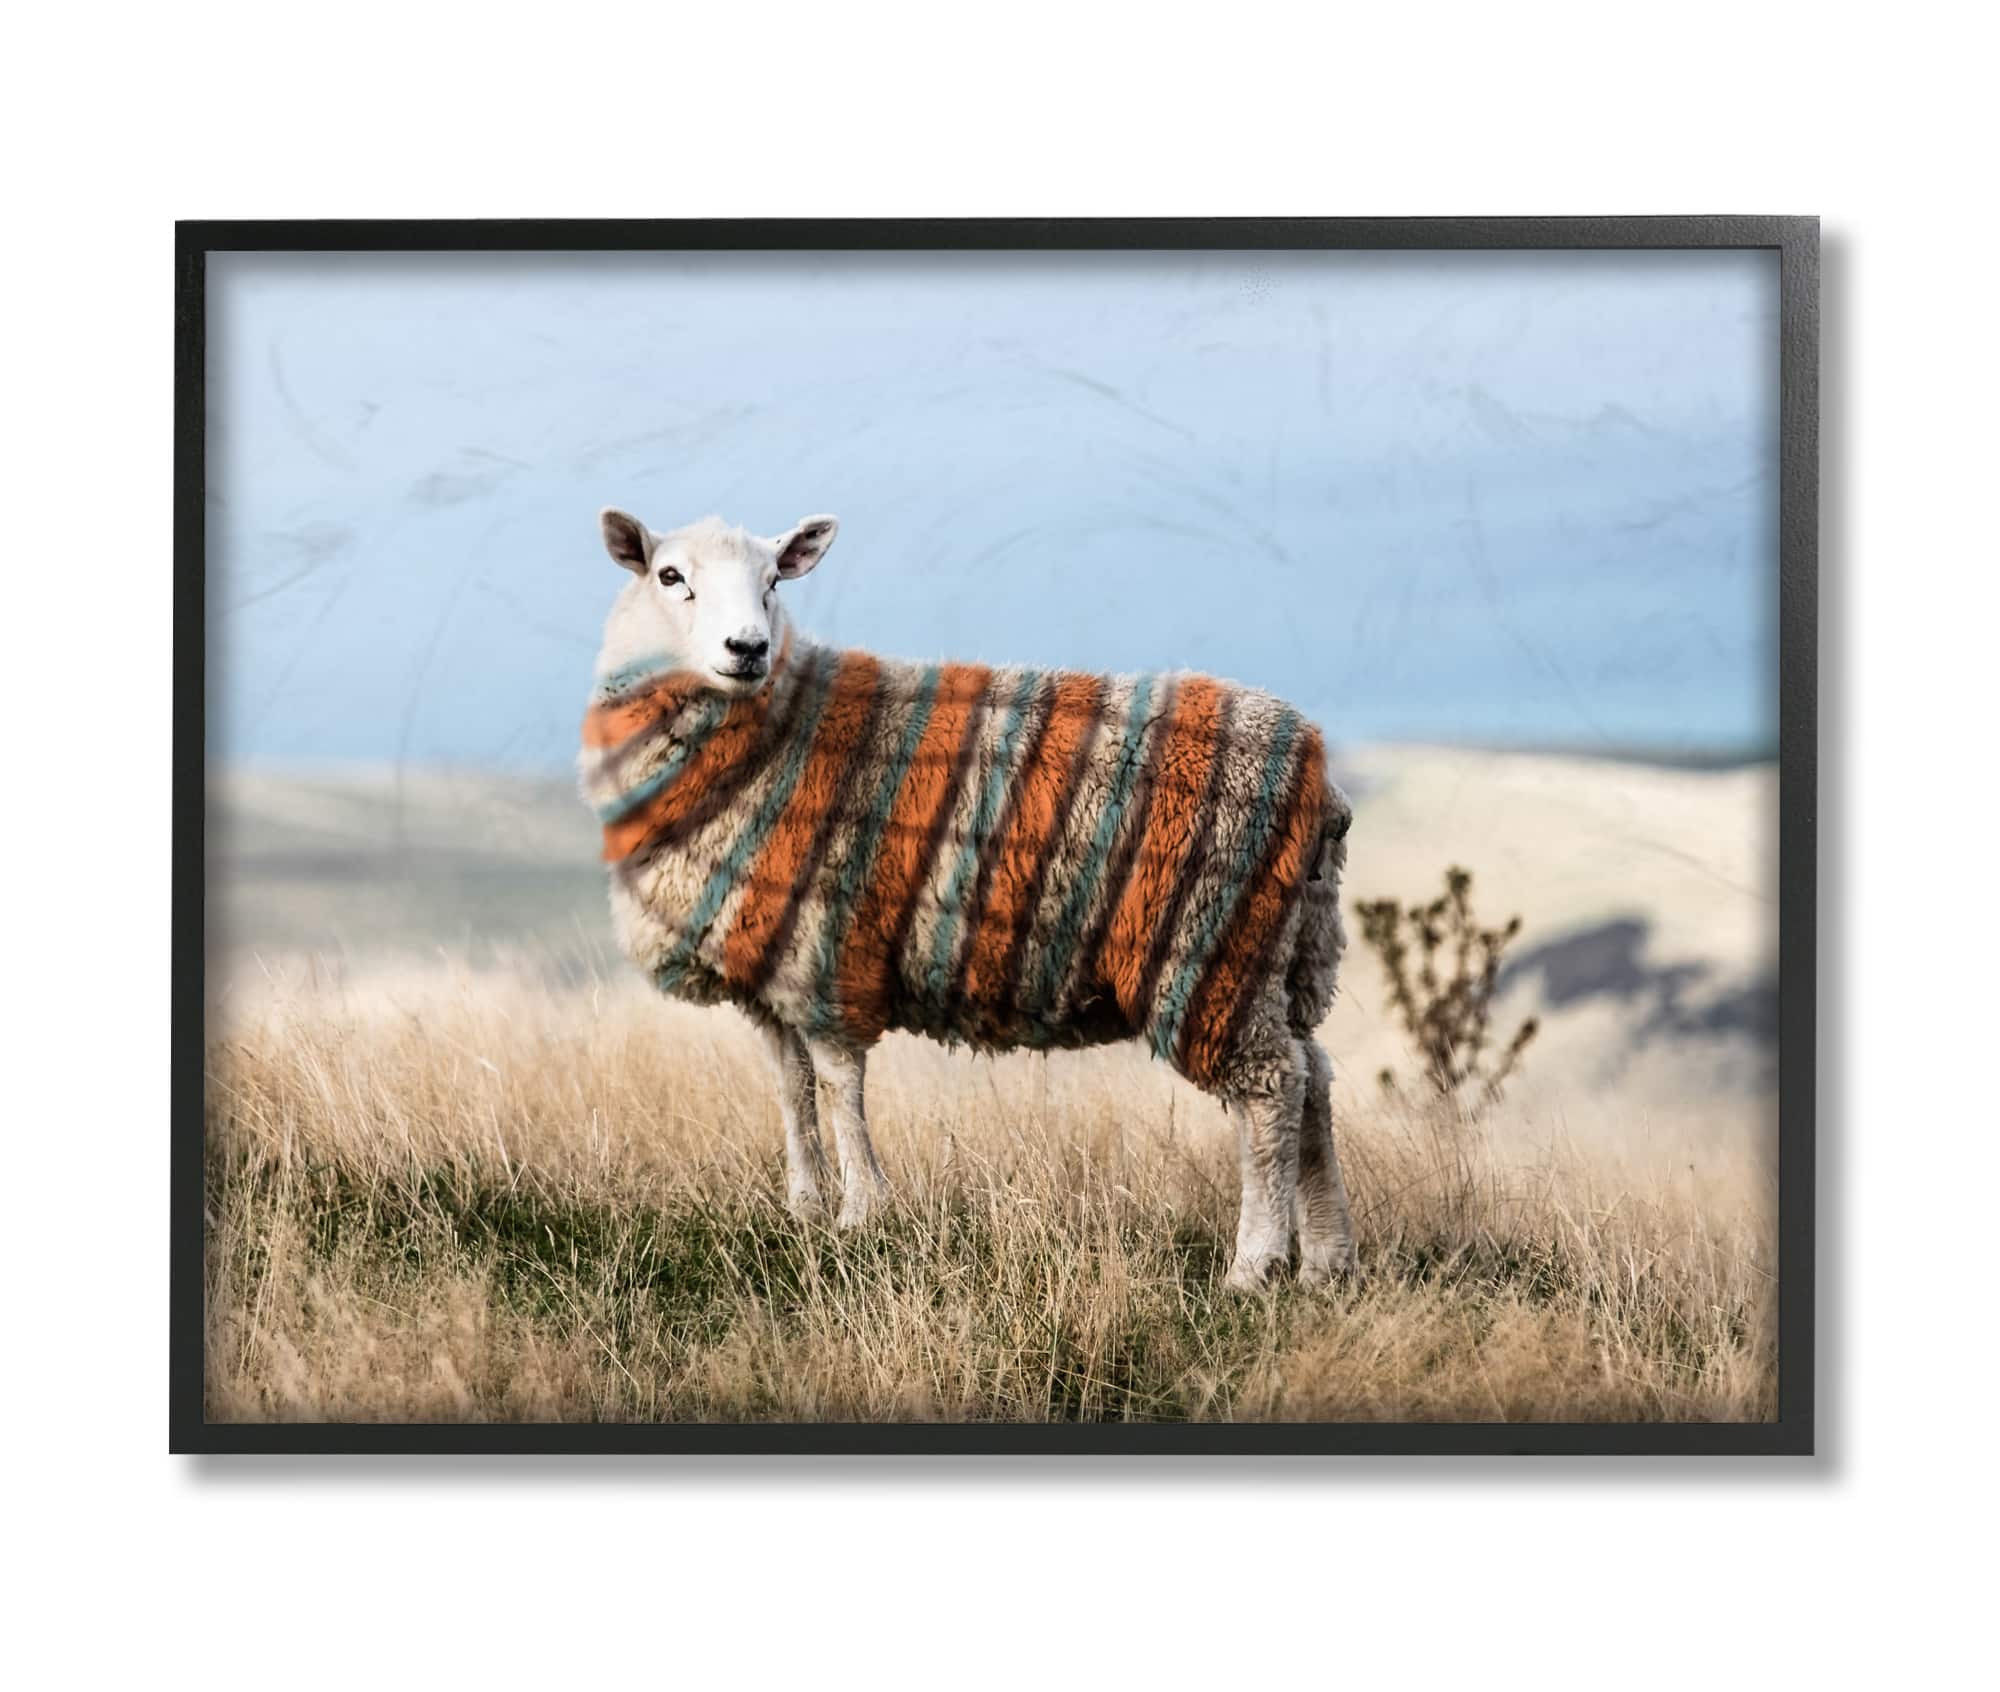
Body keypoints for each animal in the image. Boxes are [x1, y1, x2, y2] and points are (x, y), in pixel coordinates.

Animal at [580, 506, 1358, 1289]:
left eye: (774, 581)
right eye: (669, 576)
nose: (748, 648)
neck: (779, 726)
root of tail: (1315, 769)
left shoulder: (823, 952)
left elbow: (838, 1085)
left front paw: (861, 1212)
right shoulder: (766, 966)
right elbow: (792, 1089)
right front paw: (803, 1208)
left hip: (1207, 948)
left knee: (1270, 1092)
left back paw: (1254, 1265)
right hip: (1283, 951)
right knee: (1313, 1079)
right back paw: (1326, 1259)